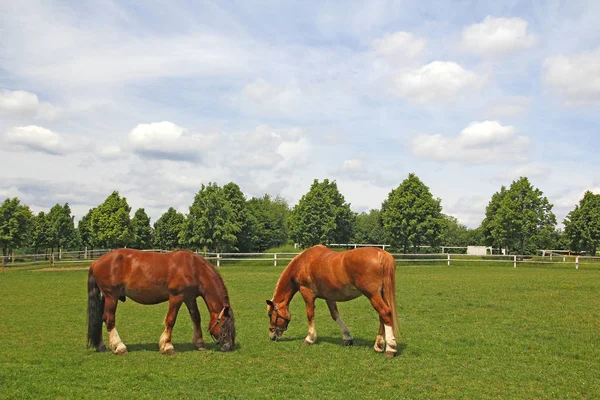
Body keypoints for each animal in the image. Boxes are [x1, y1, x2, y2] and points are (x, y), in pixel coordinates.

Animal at [88, 248, 236, 354]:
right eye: (224, 324)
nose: (229, 346)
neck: (194, 268)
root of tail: (96, 262)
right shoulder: (177, 297)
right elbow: (170, 320)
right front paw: (167, 346)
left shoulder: (189, 298)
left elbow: (196, 318)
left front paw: (199, 343)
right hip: (111, 296)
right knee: (109, 318)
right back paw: (119, 347)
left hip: (106, 297)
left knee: (100, 318)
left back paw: (101, 345)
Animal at [266, 245, 398, 358]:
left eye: (270, 314)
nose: (272, 336)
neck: (302, 263)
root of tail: (381, 253)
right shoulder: (329, 297)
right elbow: (335, 315)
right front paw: (347, 337)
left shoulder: (307, 293)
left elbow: (310, 315)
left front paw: (309, 338)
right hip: (381, 294)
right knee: (382, 316)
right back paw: (378, 345)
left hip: (373, 295)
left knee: (385, 313)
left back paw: (390, 348)